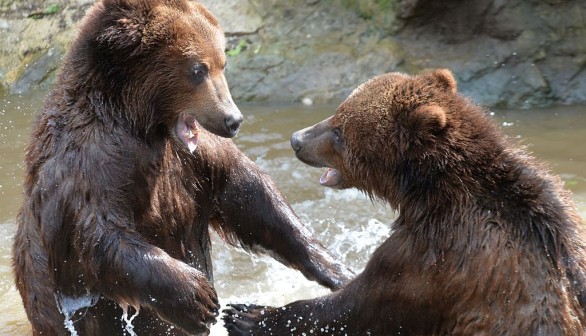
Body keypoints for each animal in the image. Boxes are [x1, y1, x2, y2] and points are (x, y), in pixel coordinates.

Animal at [12, 0, 352, 336]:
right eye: (198, 69)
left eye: (222, 63)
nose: (233, 119)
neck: (141, 123)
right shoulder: (90, 162)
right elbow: (95, 238)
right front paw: (197, 297)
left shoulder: (193, 158)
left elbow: (249, 195)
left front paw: (337, 268)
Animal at [222, 69, 584, 334]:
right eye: (337, 112)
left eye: (340, 131)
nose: (297, 139)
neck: (427, 192)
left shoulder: (436, 257)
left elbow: (360, 307)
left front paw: (247, 314)